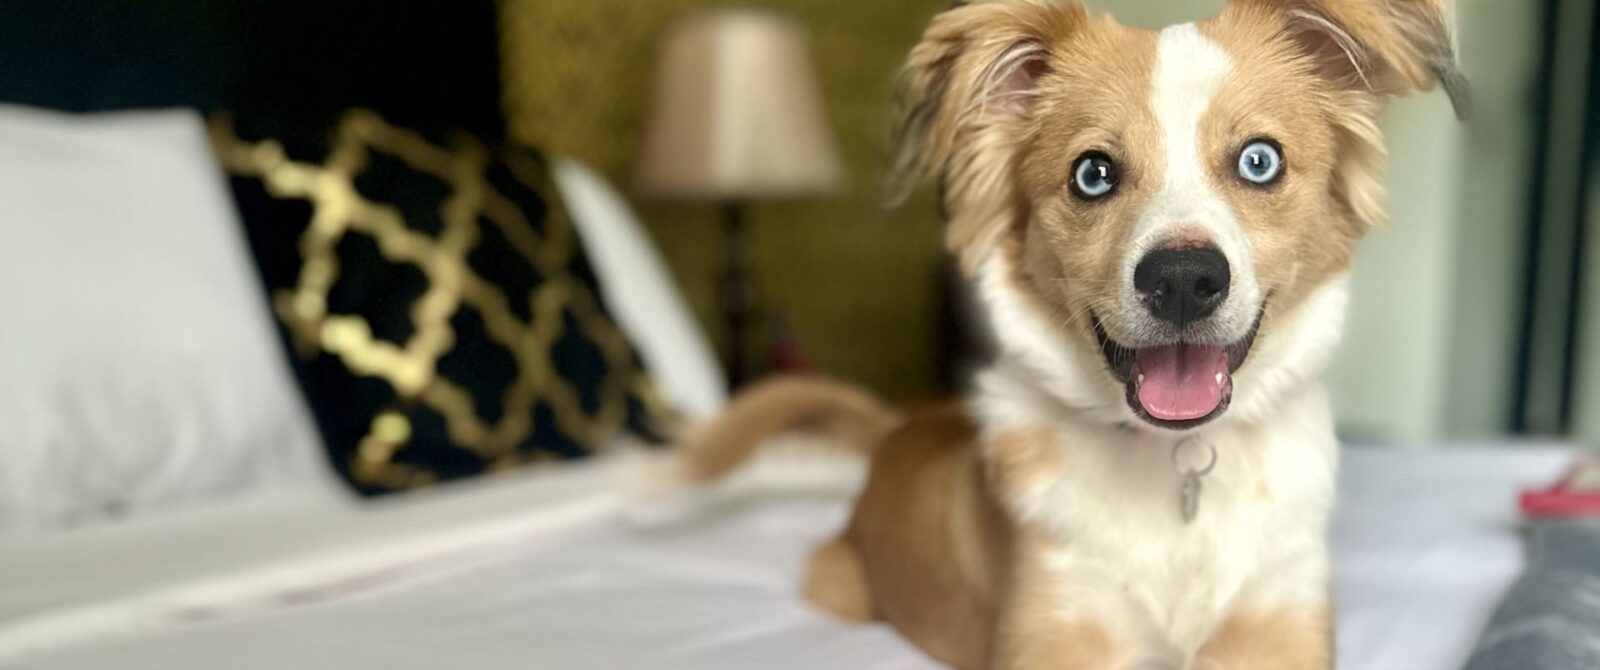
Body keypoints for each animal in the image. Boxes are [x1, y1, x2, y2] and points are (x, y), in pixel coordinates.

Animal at [675, 1, 1465, 670]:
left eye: (1259, 160)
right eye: (1093, 173)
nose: (1183, 279)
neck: (1176, 466)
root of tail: (900, 429)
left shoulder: (1284, 618)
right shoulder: (1054, 622)